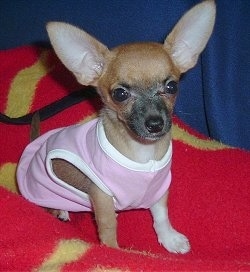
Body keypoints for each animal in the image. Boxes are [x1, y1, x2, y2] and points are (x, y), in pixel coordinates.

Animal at [16, 1, 216, 254]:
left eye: (172, 87)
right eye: (120, 94)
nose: (155, 123)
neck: (143, 152)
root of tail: (33, 147)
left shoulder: (160, 188)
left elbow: (161, 215)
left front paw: (169, 238)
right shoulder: (102, 196)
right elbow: (108, 226)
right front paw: (112, 251)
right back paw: (59, 210)